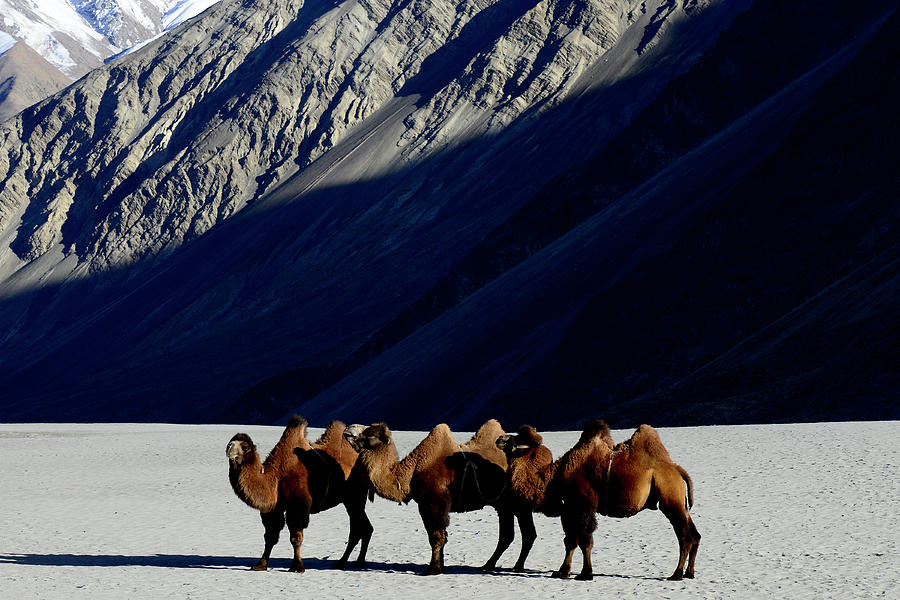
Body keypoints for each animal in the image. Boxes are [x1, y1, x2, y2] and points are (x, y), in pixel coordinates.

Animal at [225, 414, 370, 576]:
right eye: (231, 441)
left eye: (244, 447)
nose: (228, 447)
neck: (276, 477)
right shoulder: (274, 508)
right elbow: (270, 536)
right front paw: (260, 564)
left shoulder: (298, 506)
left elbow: (295, 537)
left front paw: (297, 566)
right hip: (352, 500)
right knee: (366, 527)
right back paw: (358, 562)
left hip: (354, 497)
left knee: (357, 529)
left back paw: (342, 563)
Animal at [342, 420, 532, 576]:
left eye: (371, 434)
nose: (348, 429)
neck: (411, 473)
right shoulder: (431, 505)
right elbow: (442, 536)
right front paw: (441, 567)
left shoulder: (433, 503)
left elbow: (435, 536)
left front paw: (432, 569)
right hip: (504, 505)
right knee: (509, 535)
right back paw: (489, 565)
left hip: (518, 503)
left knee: (526, 533)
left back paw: (515, 567)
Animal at [496, 420, 700, 580]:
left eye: (517, 438)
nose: (499, 438)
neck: (554, 478)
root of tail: (678, 470)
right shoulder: (569, 509)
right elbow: (570, 540)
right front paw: (562, 572)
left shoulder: (584, 505)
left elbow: (586, 540)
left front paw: (585, 574)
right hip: (680, 502)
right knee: (695, 534)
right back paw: (689, 573)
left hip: (670, 499)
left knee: (684, 536)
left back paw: (676, 574)